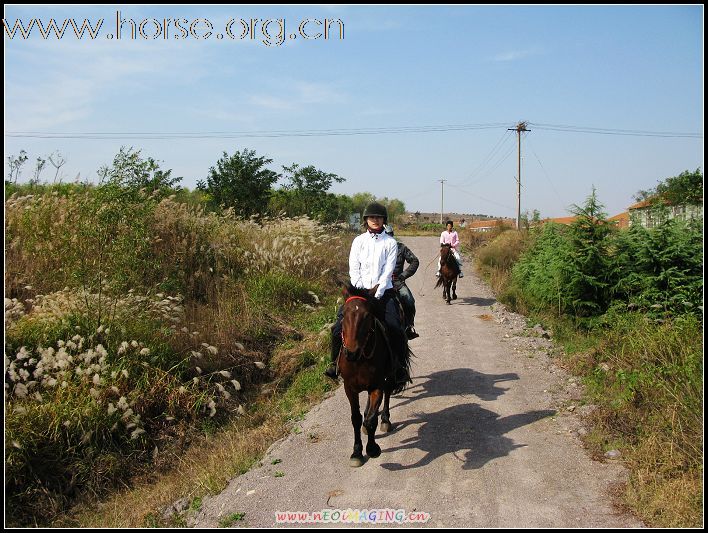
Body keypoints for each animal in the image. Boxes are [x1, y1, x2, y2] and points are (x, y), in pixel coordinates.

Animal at [338, 282, 412, 466]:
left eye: (367, 316)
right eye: (343, 314)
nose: (351, 353)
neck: (360, 360)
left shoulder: (376, 385)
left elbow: (371, 419)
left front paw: (372, 449)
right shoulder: (349, 388)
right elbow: (356, 419)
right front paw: (357, 452)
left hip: (390, 375)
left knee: (388, 391)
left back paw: (385, 420)